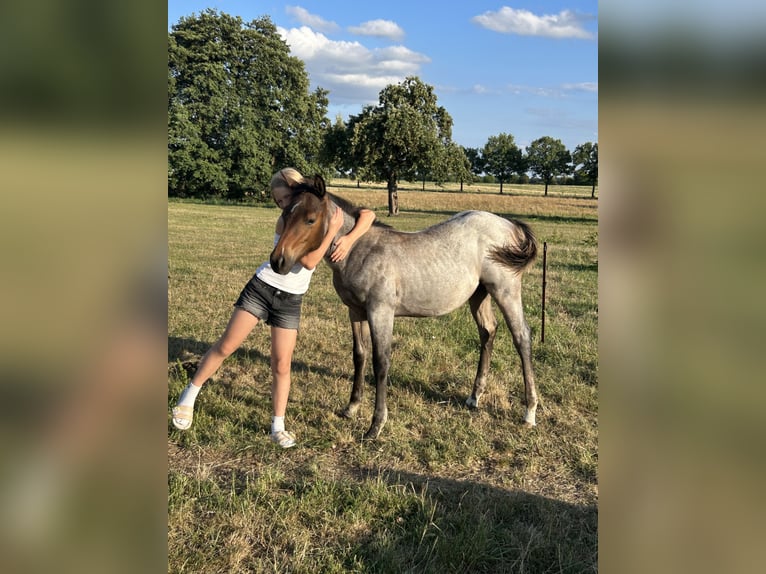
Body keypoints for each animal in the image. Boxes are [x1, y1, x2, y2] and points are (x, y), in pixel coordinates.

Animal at [271, 175, 539, 439]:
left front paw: (375, 425)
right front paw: (351, 407)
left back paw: (529, 412)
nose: (277, 261)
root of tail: (509, 225)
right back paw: (474, 397)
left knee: (521, 337)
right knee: (488, 331)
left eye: (310, 219)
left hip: (505, 291)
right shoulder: (355, 311)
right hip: (479, 294)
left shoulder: (380, 312)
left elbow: (381, 362)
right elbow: (359, 355)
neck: (358, 249)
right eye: (285, 214)